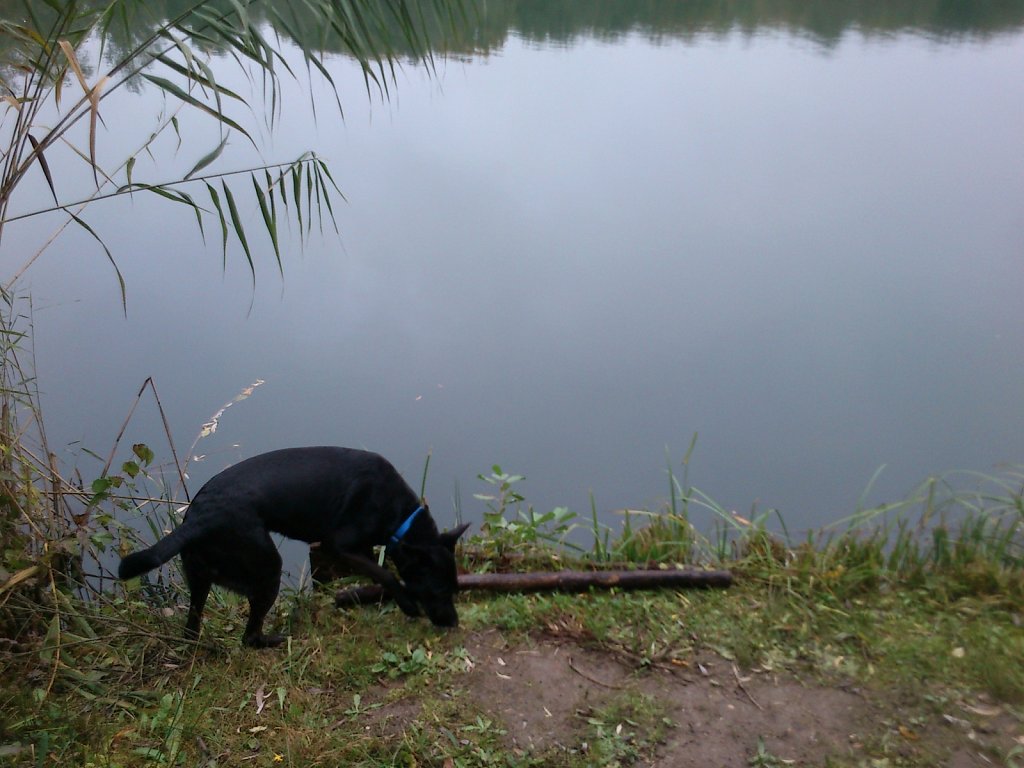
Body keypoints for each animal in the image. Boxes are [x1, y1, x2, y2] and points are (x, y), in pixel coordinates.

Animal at [117, 448, 468, 647]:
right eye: (437, 590)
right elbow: (386, 574)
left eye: (455, 588)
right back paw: (276, 640)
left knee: (192, 630)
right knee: (249, 638)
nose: (453, 623)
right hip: (268, 567)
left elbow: (379, 570)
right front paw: (407, 604)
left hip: (201, 579)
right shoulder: (340, 545)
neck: (401, 516)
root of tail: (199, 518)